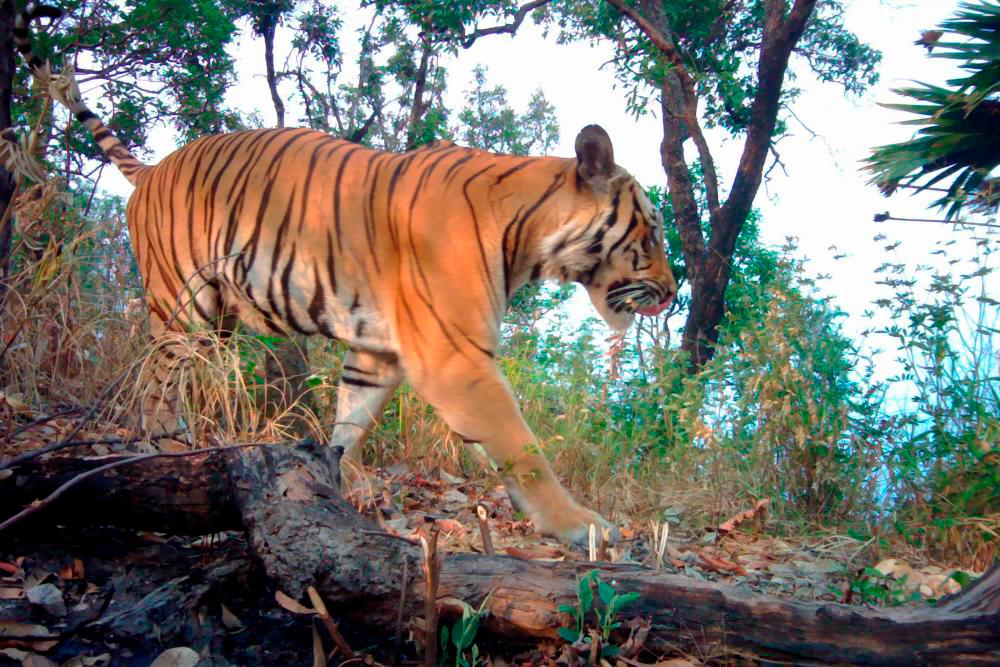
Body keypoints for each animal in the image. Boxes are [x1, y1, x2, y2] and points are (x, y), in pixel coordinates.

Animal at [16, 3, 677, 544]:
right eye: (650, 233)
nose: (672, 294)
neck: (526, 231)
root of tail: (153, 168)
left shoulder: (376, 353)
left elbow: (351, 422)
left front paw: (335, 480)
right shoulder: (456, 360)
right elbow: (523, 449)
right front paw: (582, 527)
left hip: (218, 319)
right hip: (183, 307)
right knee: (155, 380)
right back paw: (164, 445)